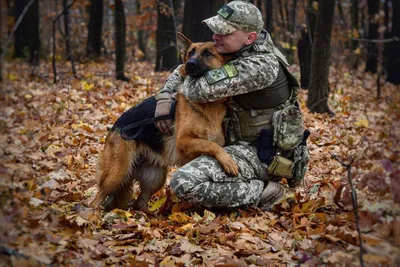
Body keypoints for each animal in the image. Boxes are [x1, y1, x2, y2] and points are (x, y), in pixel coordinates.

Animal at [91, 33, 238, 213]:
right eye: (191, 52)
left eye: (207, 53)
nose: (189, 64)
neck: (207, 106)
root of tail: (115, 127)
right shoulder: (184, 141)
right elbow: (212, 145)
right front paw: (228, 161)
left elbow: (213, 145)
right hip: (118, 173)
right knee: (96, 198)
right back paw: (92, 214)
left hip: (156, 177)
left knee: (139, 203)